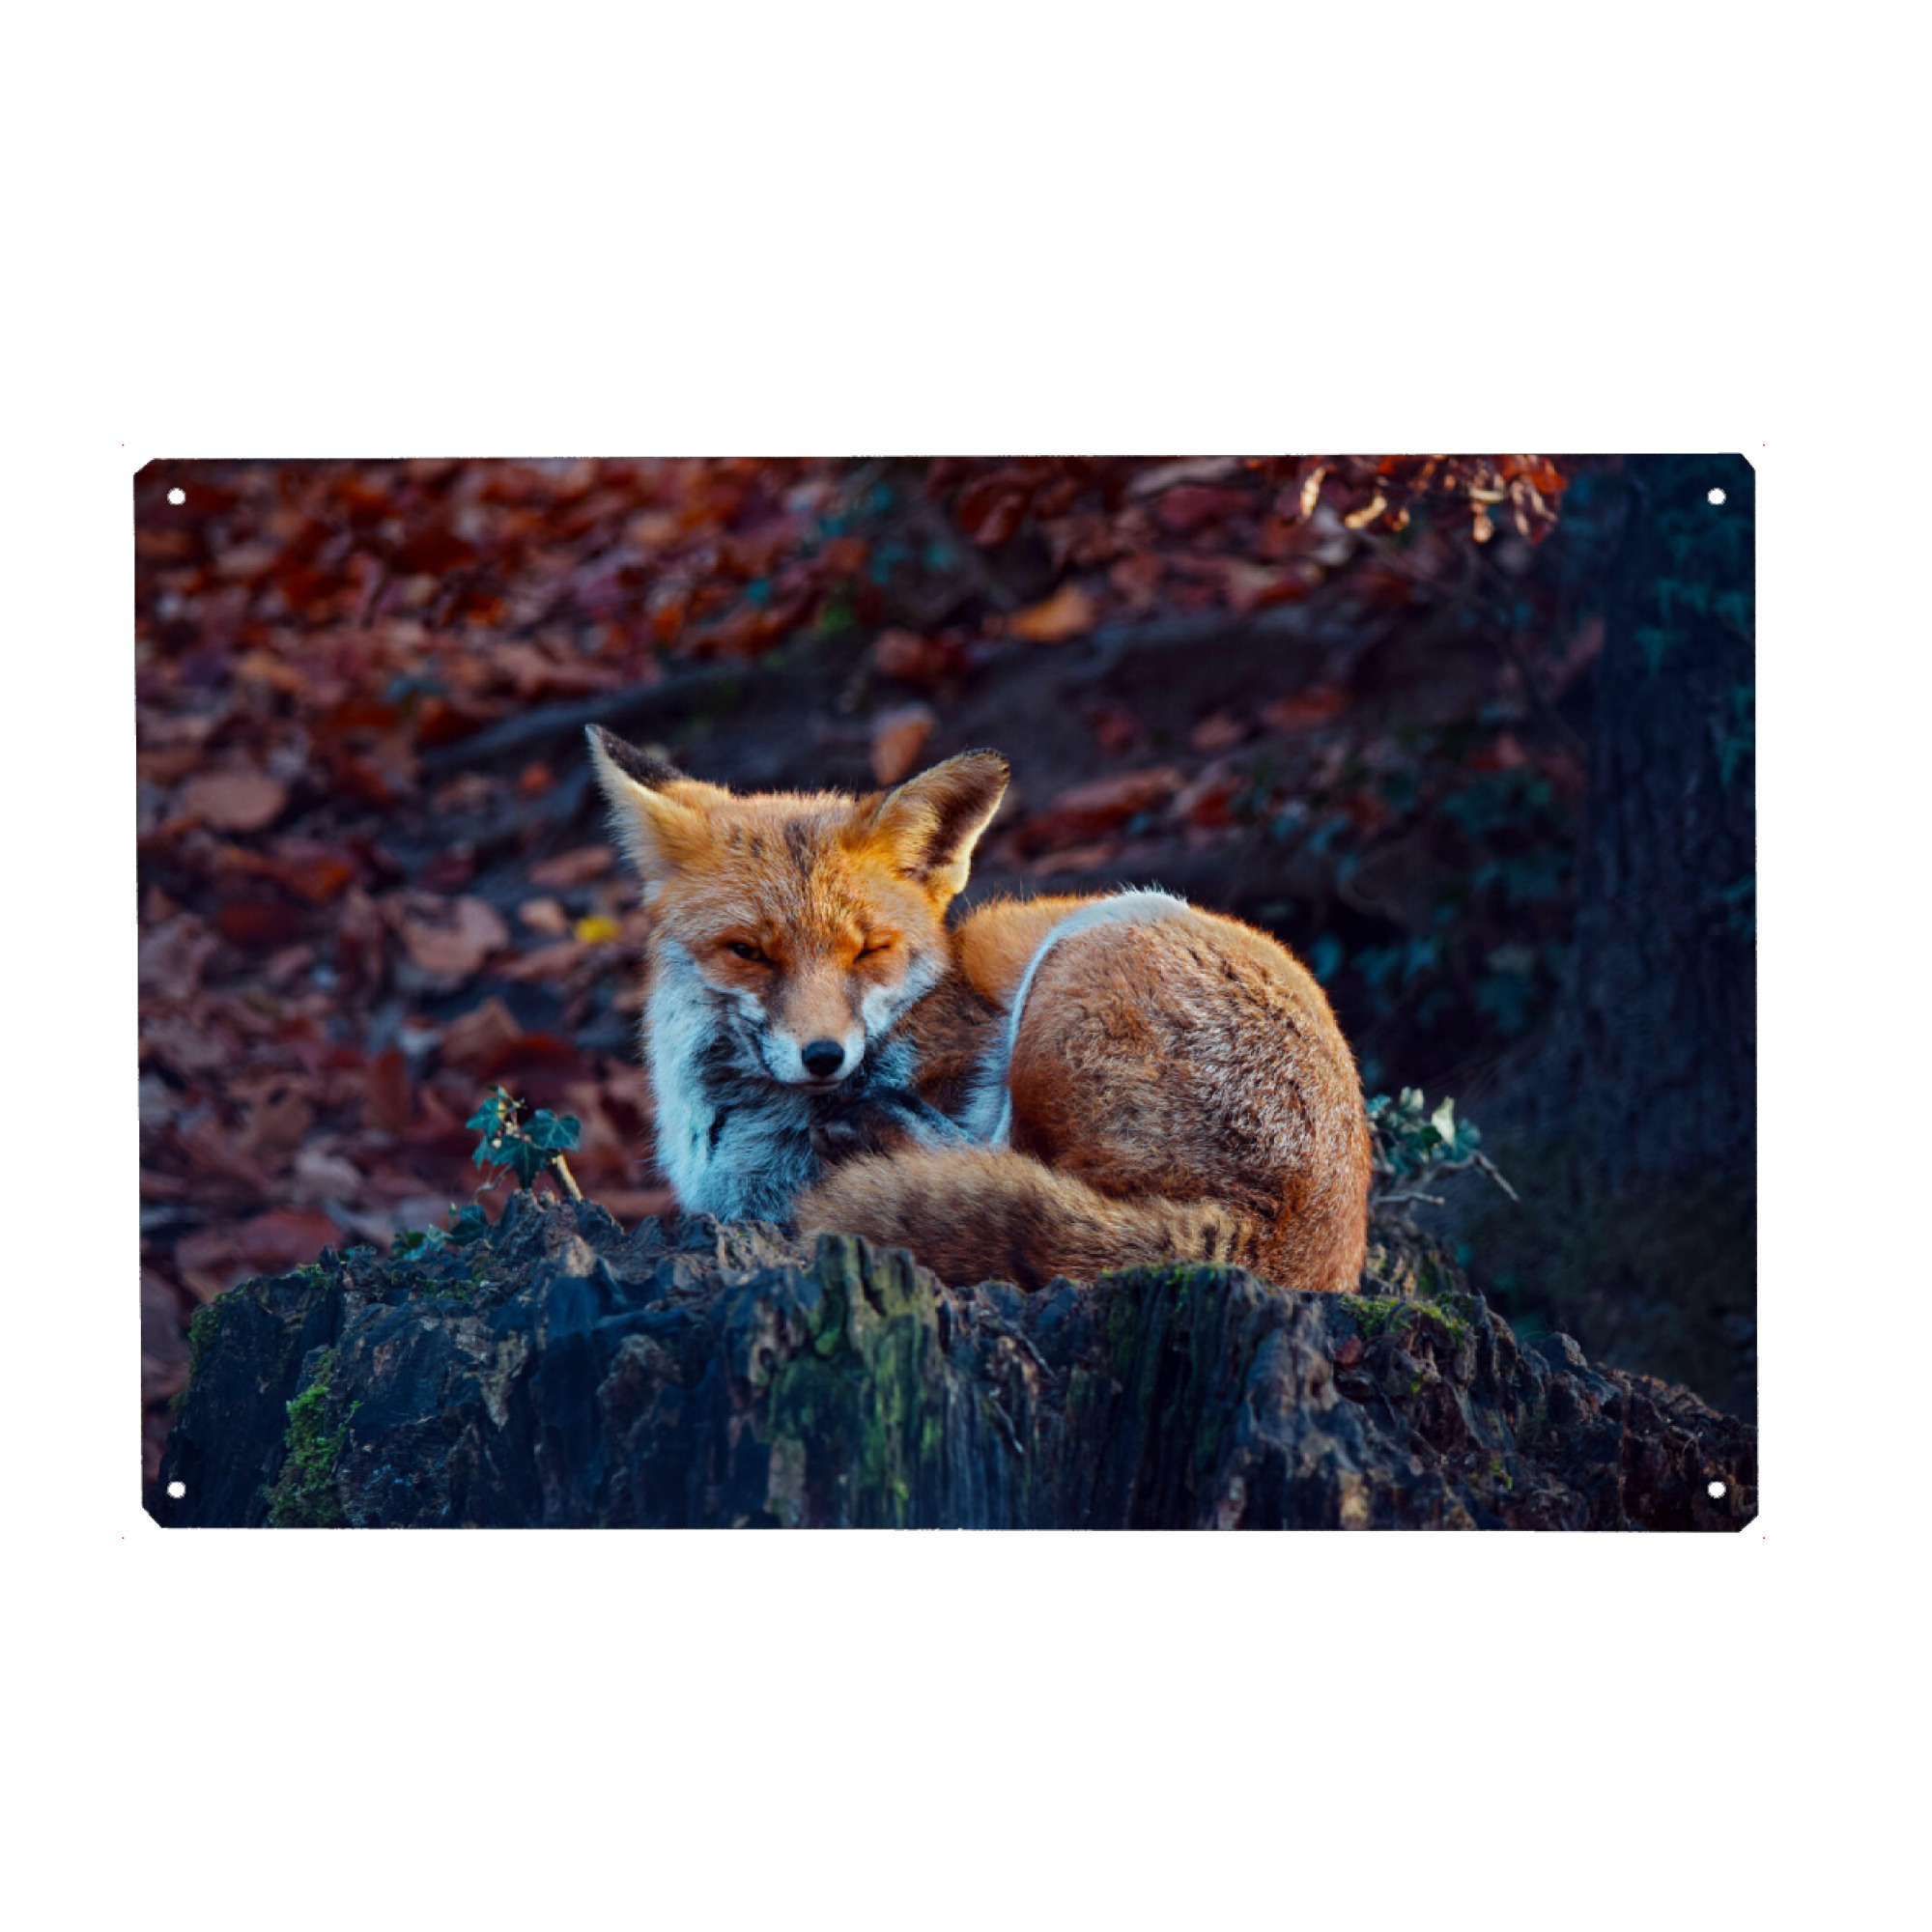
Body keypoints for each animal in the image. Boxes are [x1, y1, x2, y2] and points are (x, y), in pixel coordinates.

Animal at [586, 723, 1371, 1296]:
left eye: (869, 950)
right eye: (748, 951)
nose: (824, 1058)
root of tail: (1278, 1237)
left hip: (1080, 955)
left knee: (1013, 1167)